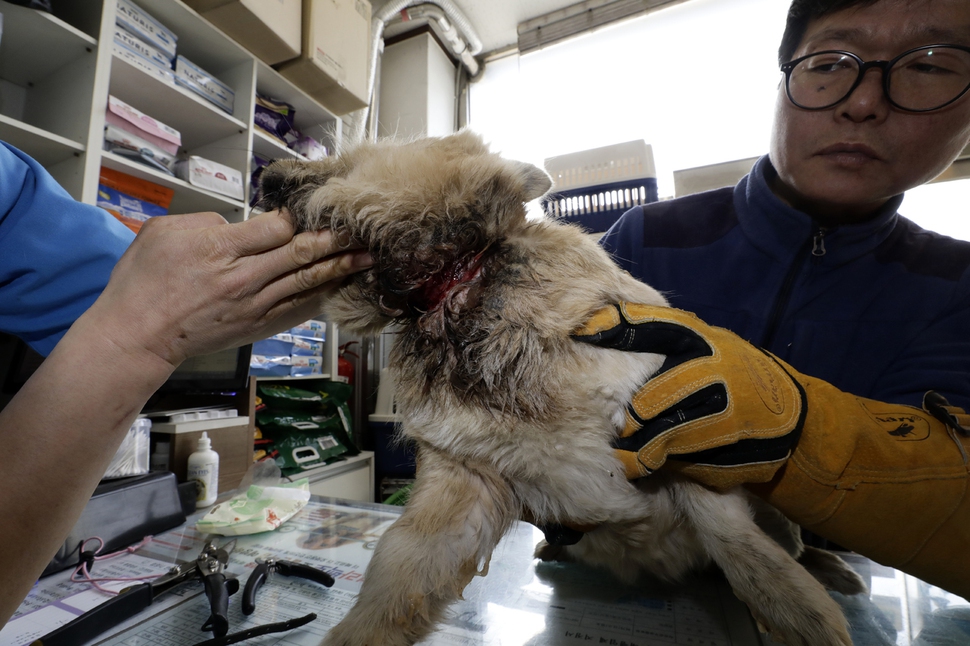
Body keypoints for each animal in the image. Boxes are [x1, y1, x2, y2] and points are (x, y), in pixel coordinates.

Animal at [260, 132, 864, 646]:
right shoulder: (462, 485)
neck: (456, 286)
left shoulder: (691, 439)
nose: (267, 176)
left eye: (352, 158)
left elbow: (739, 544)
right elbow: (395, 575)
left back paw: (834, 572)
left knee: (788, 540)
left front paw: (804, 617)